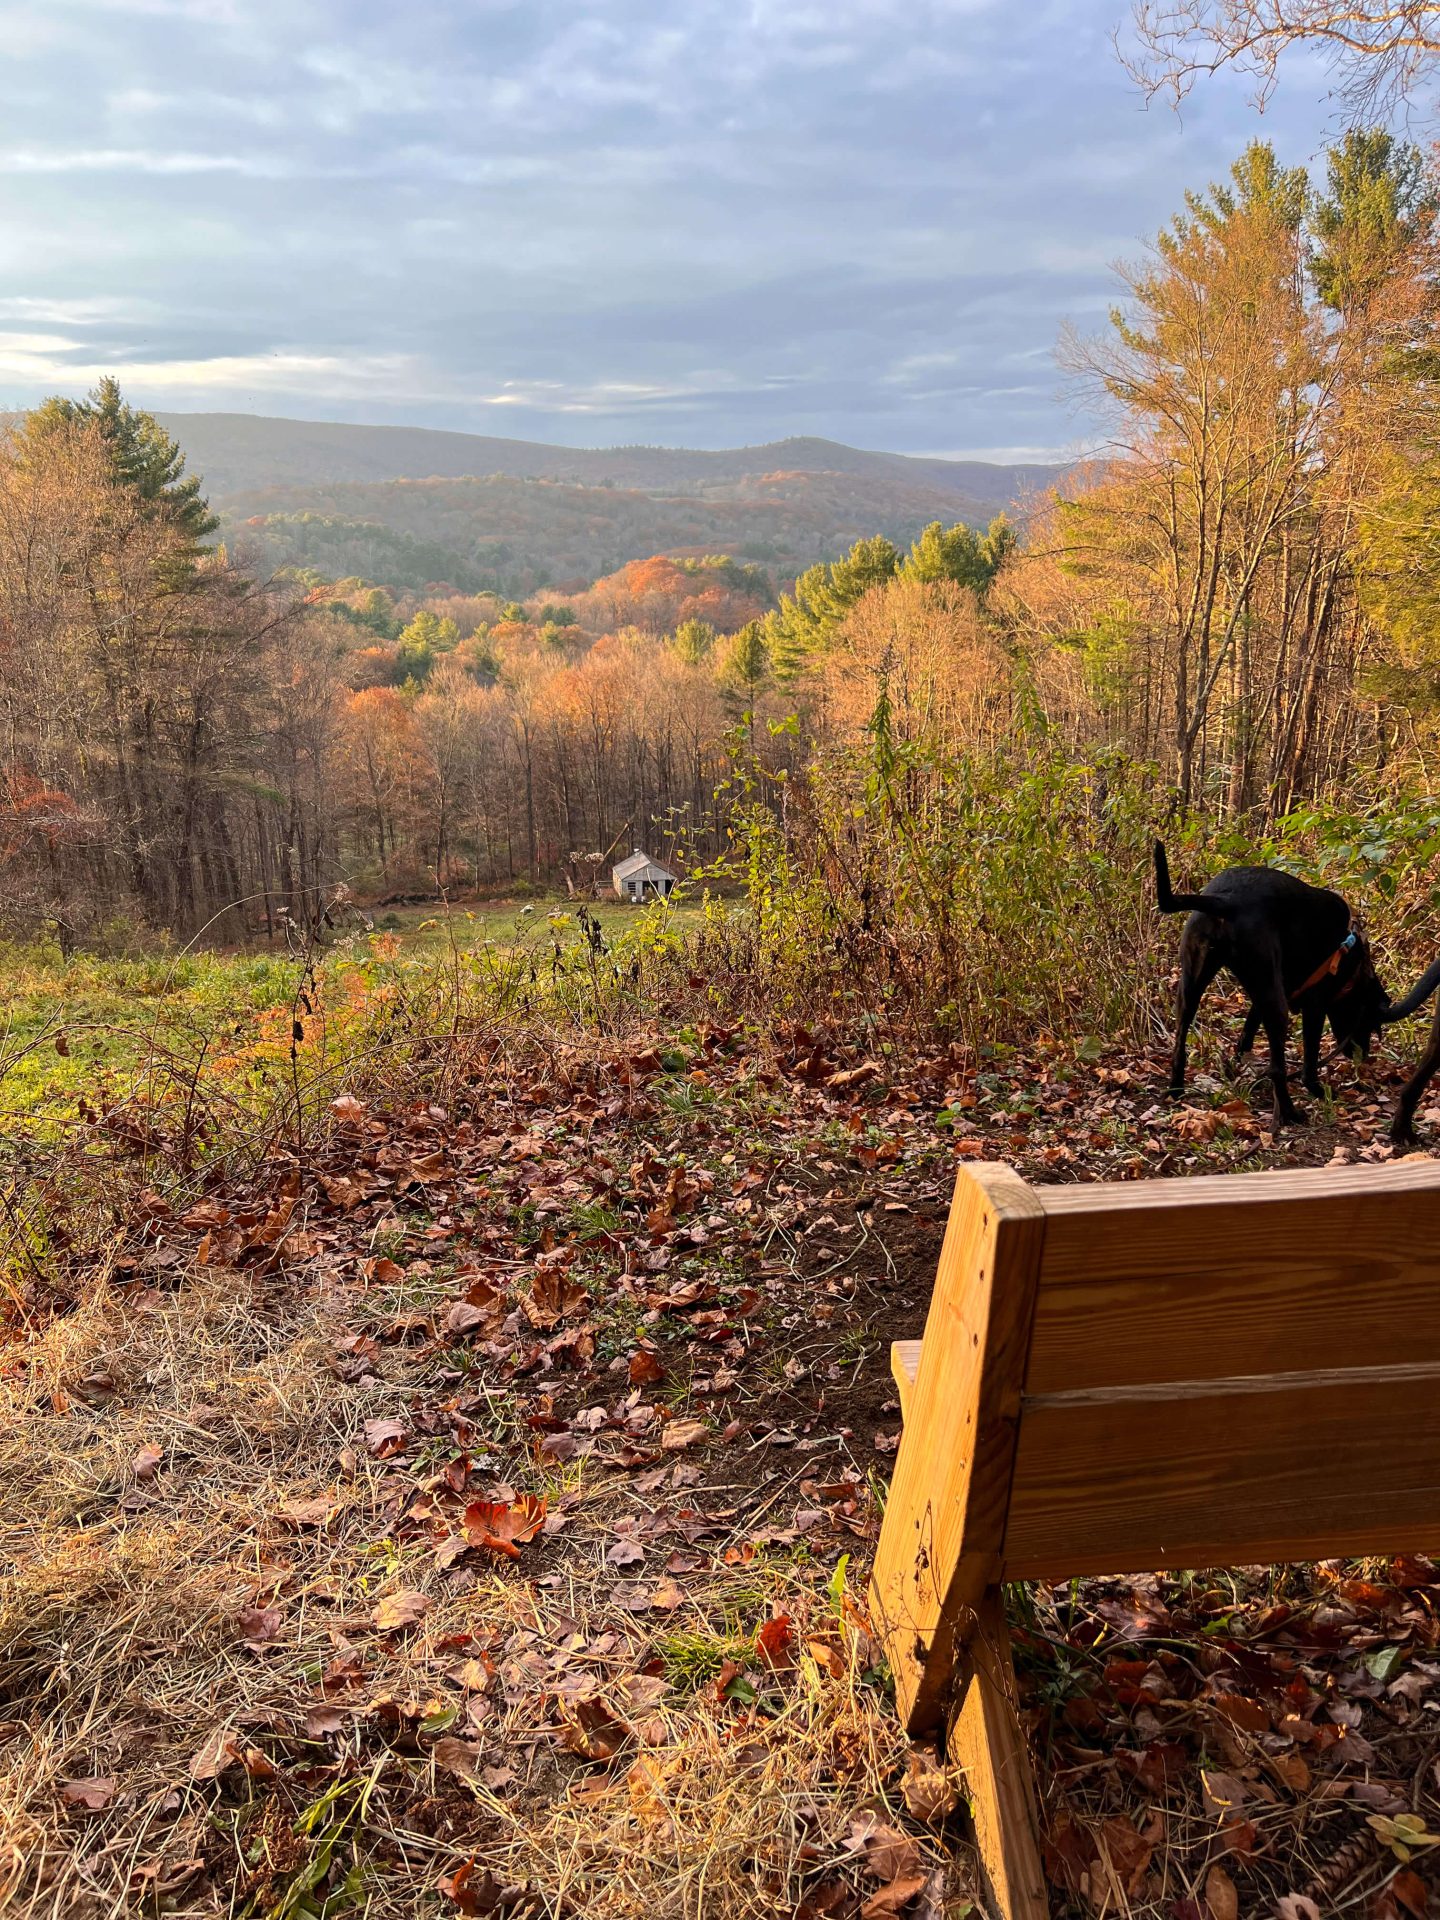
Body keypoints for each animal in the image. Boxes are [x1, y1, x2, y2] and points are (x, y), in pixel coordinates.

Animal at [1159, 840, 1390, 1121]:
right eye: (1369, 1024)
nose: (1363, 1055)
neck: (1354, 966)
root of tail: (1225, 900)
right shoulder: (1314, 1005)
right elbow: (1310, 1058)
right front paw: (1316, 1089)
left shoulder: (1265, 992)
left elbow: (1247, 1031)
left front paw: (1237, 1065)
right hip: (1276, 1003)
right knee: (1277, 1067)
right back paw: (1289, 1113)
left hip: (1193, 984)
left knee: (1180, 1041)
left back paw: (1176, 1088)